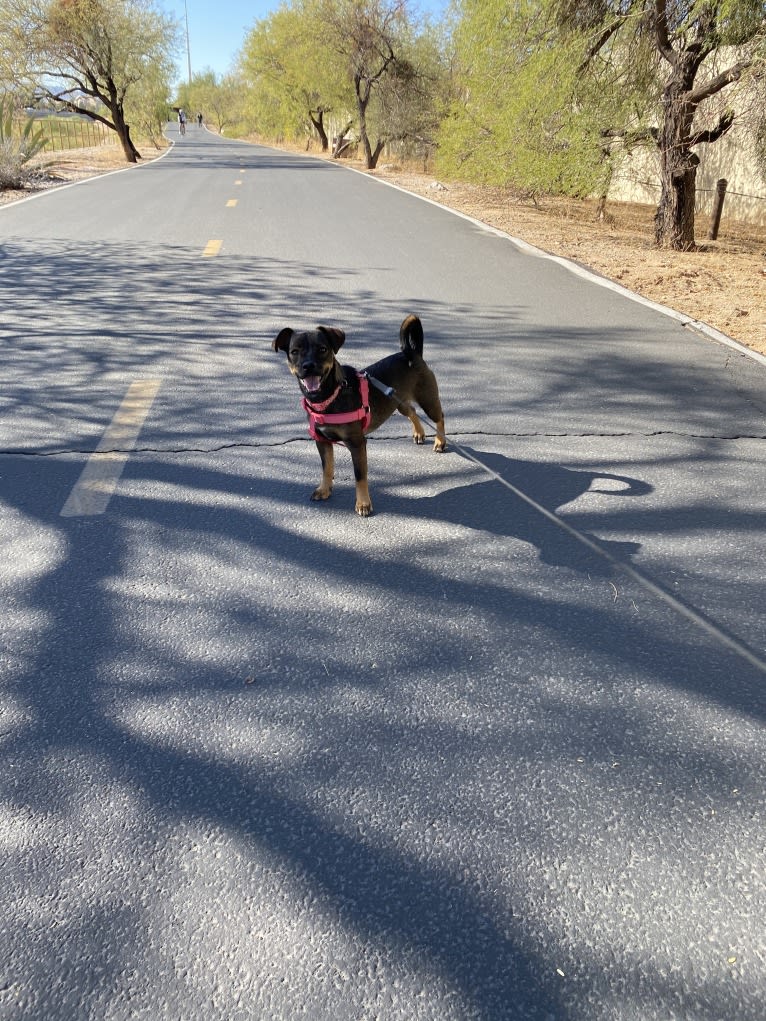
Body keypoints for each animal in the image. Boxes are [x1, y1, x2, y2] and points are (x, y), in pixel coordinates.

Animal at [273, 312, 447, 518]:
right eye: (294, 352)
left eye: (323, 349)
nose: (308, 366)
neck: (330, 396)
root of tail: (413, 354)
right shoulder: (322, 441)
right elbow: (327, 467)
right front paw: (324, 489)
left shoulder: (357, 444)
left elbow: (360, 475)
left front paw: (363, 503)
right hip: (398, 402)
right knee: (411, 411)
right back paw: (419, 433)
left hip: (427, 400)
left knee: (440, 417)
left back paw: (440, 442)